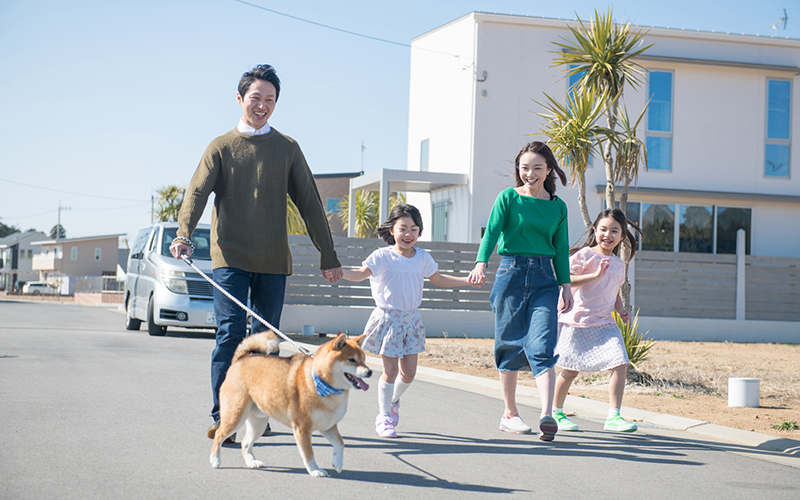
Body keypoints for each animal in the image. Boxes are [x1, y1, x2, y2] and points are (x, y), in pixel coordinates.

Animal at [212, 332, 376, 476]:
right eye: (352, 360)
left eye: (364, 359)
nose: (370, 372)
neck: (322, 383)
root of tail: (241, 359)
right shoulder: (303, 429)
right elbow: (309, 453)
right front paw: (315, 470)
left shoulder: (327, 426)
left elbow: (340, 443)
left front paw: (338, 463)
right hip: (235, 416)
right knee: (219, 434)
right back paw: (215, 460)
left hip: (259, 423)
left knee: (245, 443)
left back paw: (251, 462)